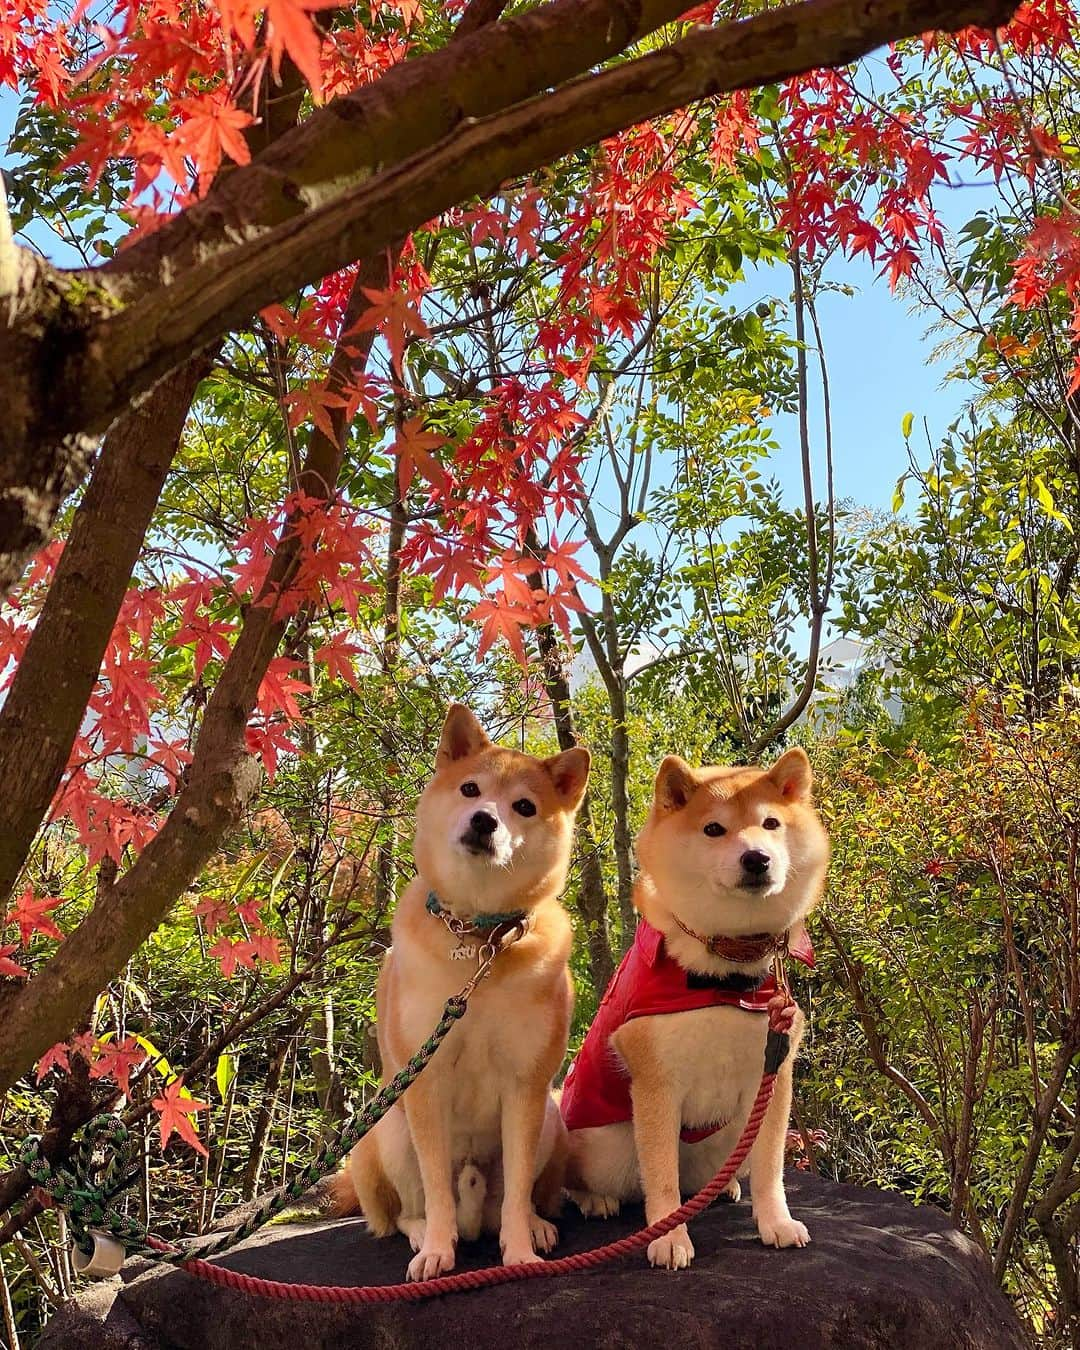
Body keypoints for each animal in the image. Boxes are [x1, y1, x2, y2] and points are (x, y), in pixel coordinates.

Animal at [325, 702, 591, 1279]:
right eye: (471, 790)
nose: (485, 819)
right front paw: (437, 1251)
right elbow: (434, 1188)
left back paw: (534, 1224)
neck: (480, 937)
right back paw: (422, 1232)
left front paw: (519, 1251)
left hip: (549, 1119)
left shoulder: (525, 1084)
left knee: (510, 1200)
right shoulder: (425, 1081)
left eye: (523, 806)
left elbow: (516, 1189)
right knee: (408, 1208)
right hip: (389, 1129)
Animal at [556, 750, 826, 1263]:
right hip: (602, 1146)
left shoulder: (773, 1073)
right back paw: (594, 1199)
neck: (725, 972)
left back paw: (720, 1189)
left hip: (729, 1135)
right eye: (713, 829)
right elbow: (661, 1176)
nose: (756, 857)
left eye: (771, 823)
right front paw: (668, 1237)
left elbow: (770, 1169)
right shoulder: (657, 1083)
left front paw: (776, 1222)